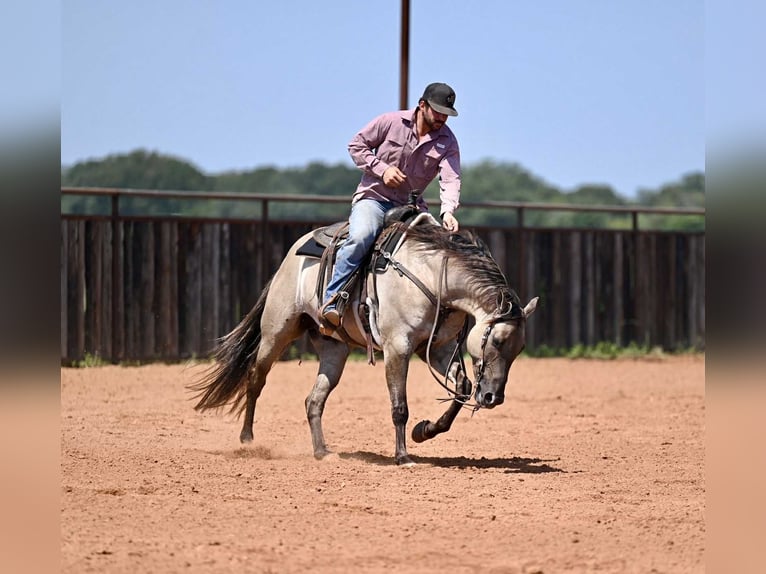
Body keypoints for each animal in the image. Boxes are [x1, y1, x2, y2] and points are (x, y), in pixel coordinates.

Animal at [190, 215, 538, 466]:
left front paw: (424, 431)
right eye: (498, 340)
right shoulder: (398, 348)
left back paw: (322, 452)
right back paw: (248, 439)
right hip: (277, 333)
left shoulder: (439, 349)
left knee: (313, 400)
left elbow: (462, 388)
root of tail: (290, 257)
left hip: (334, 350)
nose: (493, 397)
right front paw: (403, 456)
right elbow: (399, 406)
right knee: (255, 379)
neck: (431, 277)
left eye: (519, 348)